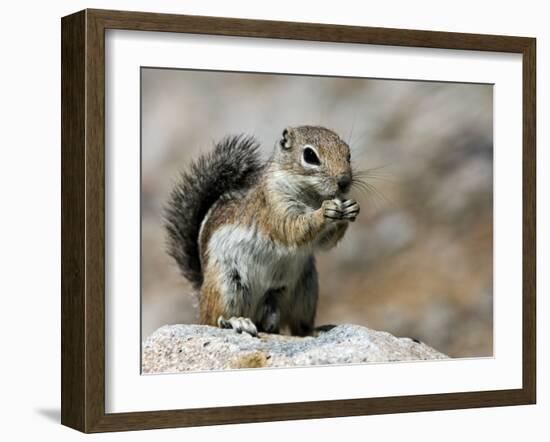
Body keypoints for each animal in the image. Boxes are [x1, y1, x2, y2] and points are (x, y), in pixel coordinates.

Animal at [166, 126, 360, 336]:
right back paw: (236, 321)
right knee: (213, 319)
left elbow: (324, 243)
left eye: (348, 154)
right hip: (227, 284)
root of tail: (201, 290)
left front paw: (350, 209)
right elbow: (293, 229)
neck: (312, 197)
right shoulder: (274, 205)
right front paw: (325, 212)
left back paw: (310, 331)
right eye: (310, 156)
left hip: (305, 290)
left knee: (296, 325)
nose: (344, 181)